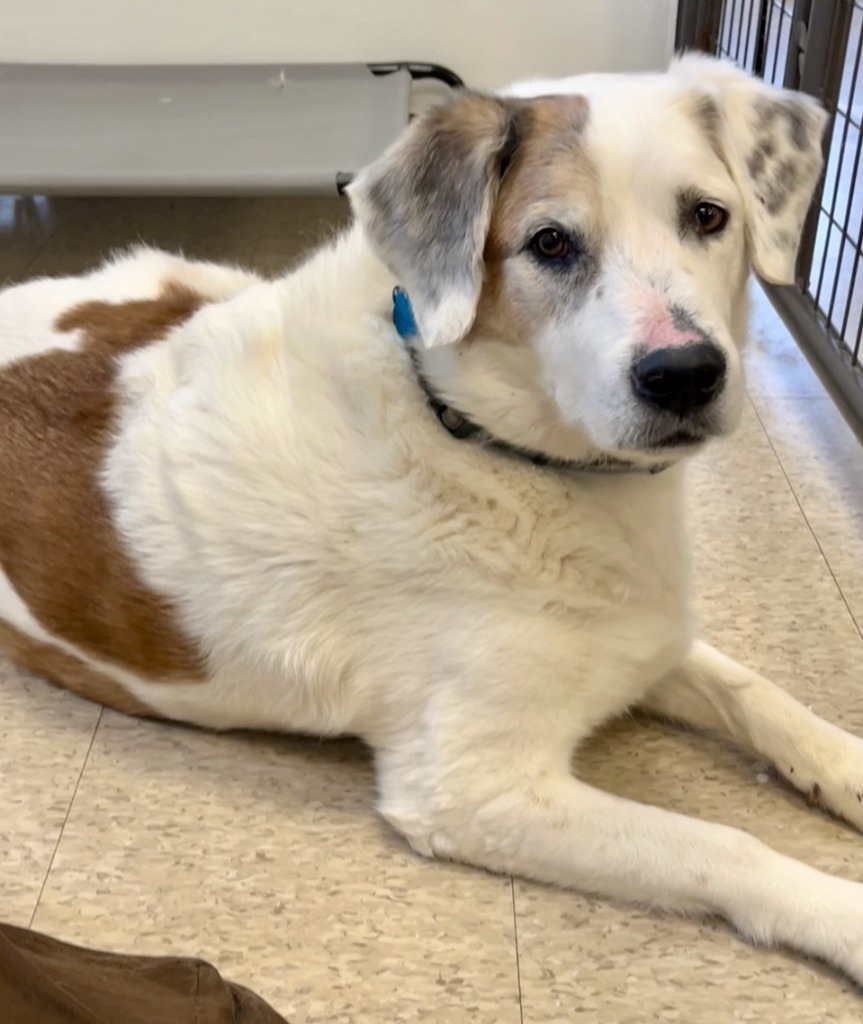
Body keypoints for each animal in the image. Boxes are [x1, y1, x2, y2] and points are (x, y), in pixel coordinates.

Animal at [1, 54, 863, 983]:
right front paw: (844, 916)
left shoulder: (643, 632)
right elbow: (724, 846)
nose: (684, 374)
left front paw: (846, 766)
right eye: (549, 243)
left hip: (194, 282)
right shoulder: (471, 789)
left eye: (707, 215)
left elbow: (752, 691)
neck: (480, 438)